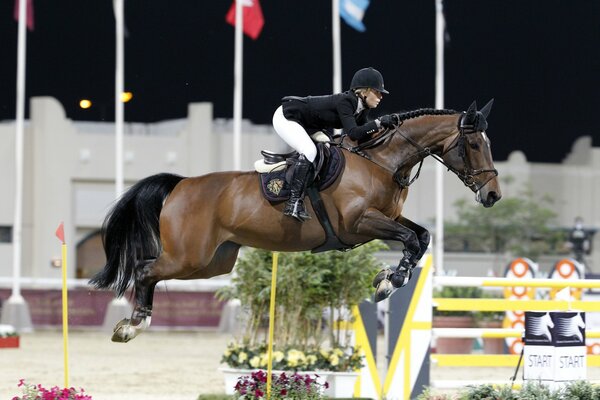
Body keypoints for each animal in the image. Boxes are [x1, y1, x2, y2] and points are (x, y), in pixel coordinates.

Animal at [90, 99, 502, 340]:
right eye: (474, 144)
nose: (492, 196)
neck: (382, 160)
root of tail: (180, 184)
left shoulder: (388, 218)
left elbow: (421, 237)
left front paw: (388, 278)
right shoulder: (359, 223)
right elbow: (412, 239)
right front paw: (389, 282)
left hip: (212, 263)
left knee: (153, 270)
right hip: (189, 256)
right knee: (144, 269)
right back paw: (133, 323)